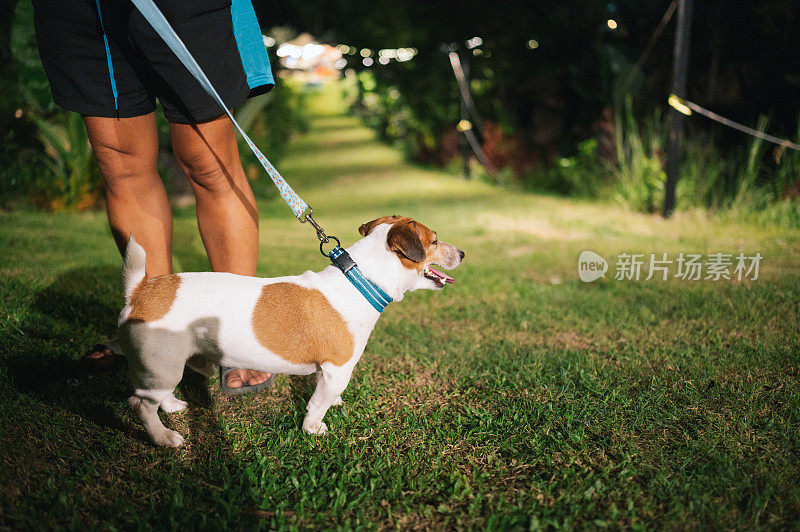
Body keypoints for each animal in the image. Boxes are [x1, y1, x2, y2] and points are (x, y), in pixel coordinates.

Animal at [122, 215, 466, 444]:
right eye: (434, 241)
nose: (463, 254)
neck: (361, 280)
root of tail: (142, 289)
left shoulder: (327, 370)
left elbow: (324, 392)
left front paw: (333, 403)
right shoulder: (338, 369)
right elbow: (318, 404)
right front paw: (313, 428)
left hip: (164, 368)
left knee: (155, 394)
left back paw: (172, 406)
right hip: (163, 364)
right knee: (140, 404)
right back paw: (164, 437)